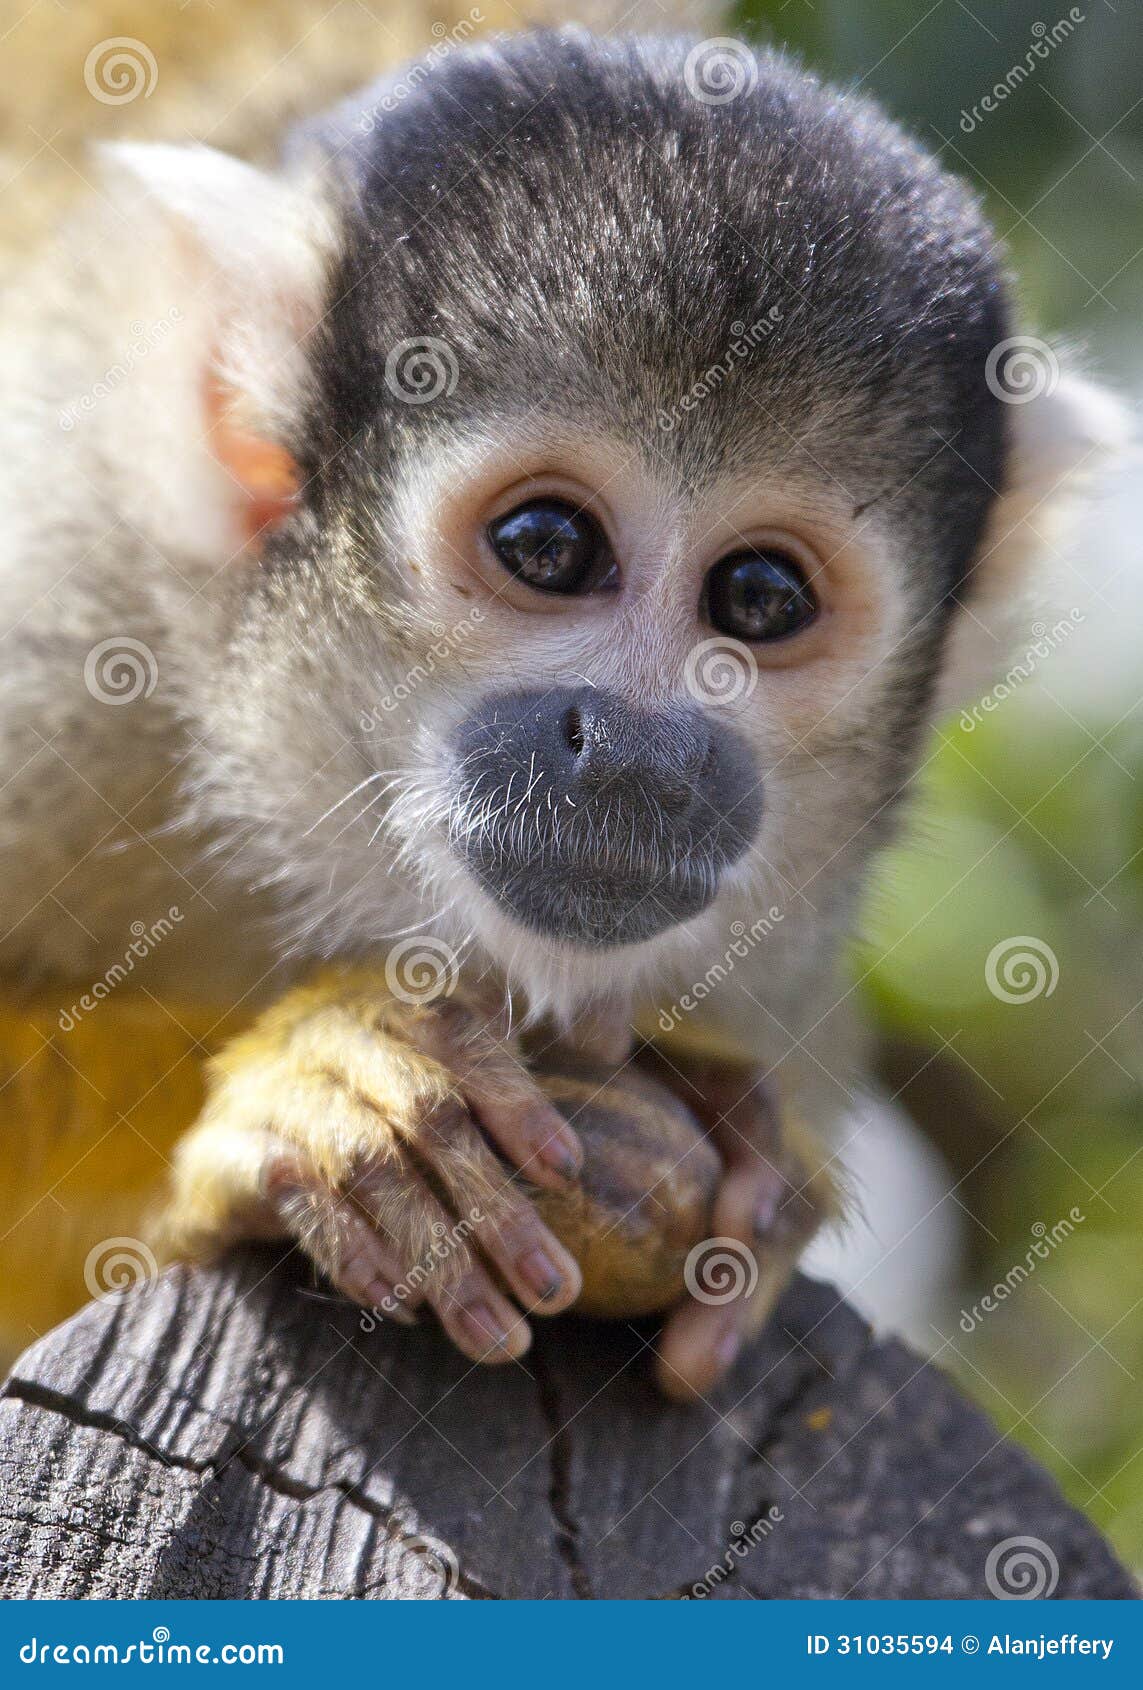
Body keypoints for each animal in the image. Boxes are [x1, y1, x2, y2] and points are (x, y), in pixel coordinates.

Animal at [0, 26, 1122, 1399]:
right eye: (547, 544)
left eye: (760, 597)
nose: (639, 754)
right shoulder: (64, 627)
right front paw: (310, 1079)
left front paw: (739, 1141)